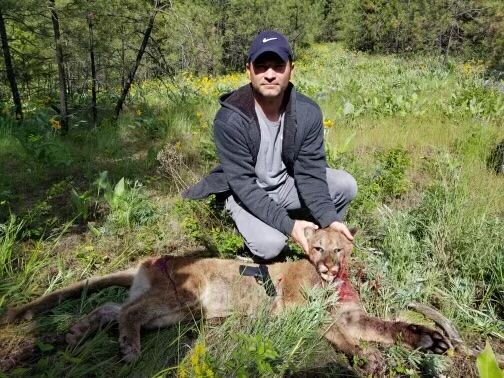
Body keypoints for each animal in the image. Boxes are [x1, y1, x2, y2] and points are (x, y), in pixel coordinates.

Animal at [2, 227, 448, 370]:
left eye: (337, 249)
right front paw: (366, 356)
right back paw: (128, 348)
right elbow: (337, 332)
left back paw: (76, 332)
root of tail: (151, 259)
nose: (327, 265)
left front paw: (429, 339)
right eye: (318, 247)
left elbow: (387, 326)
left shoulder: (353, 315)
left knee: (113, 307)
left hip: (175, 313)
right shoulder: (296, 310)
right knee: (126, 310)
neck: (332, 285)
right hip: (182, 300)